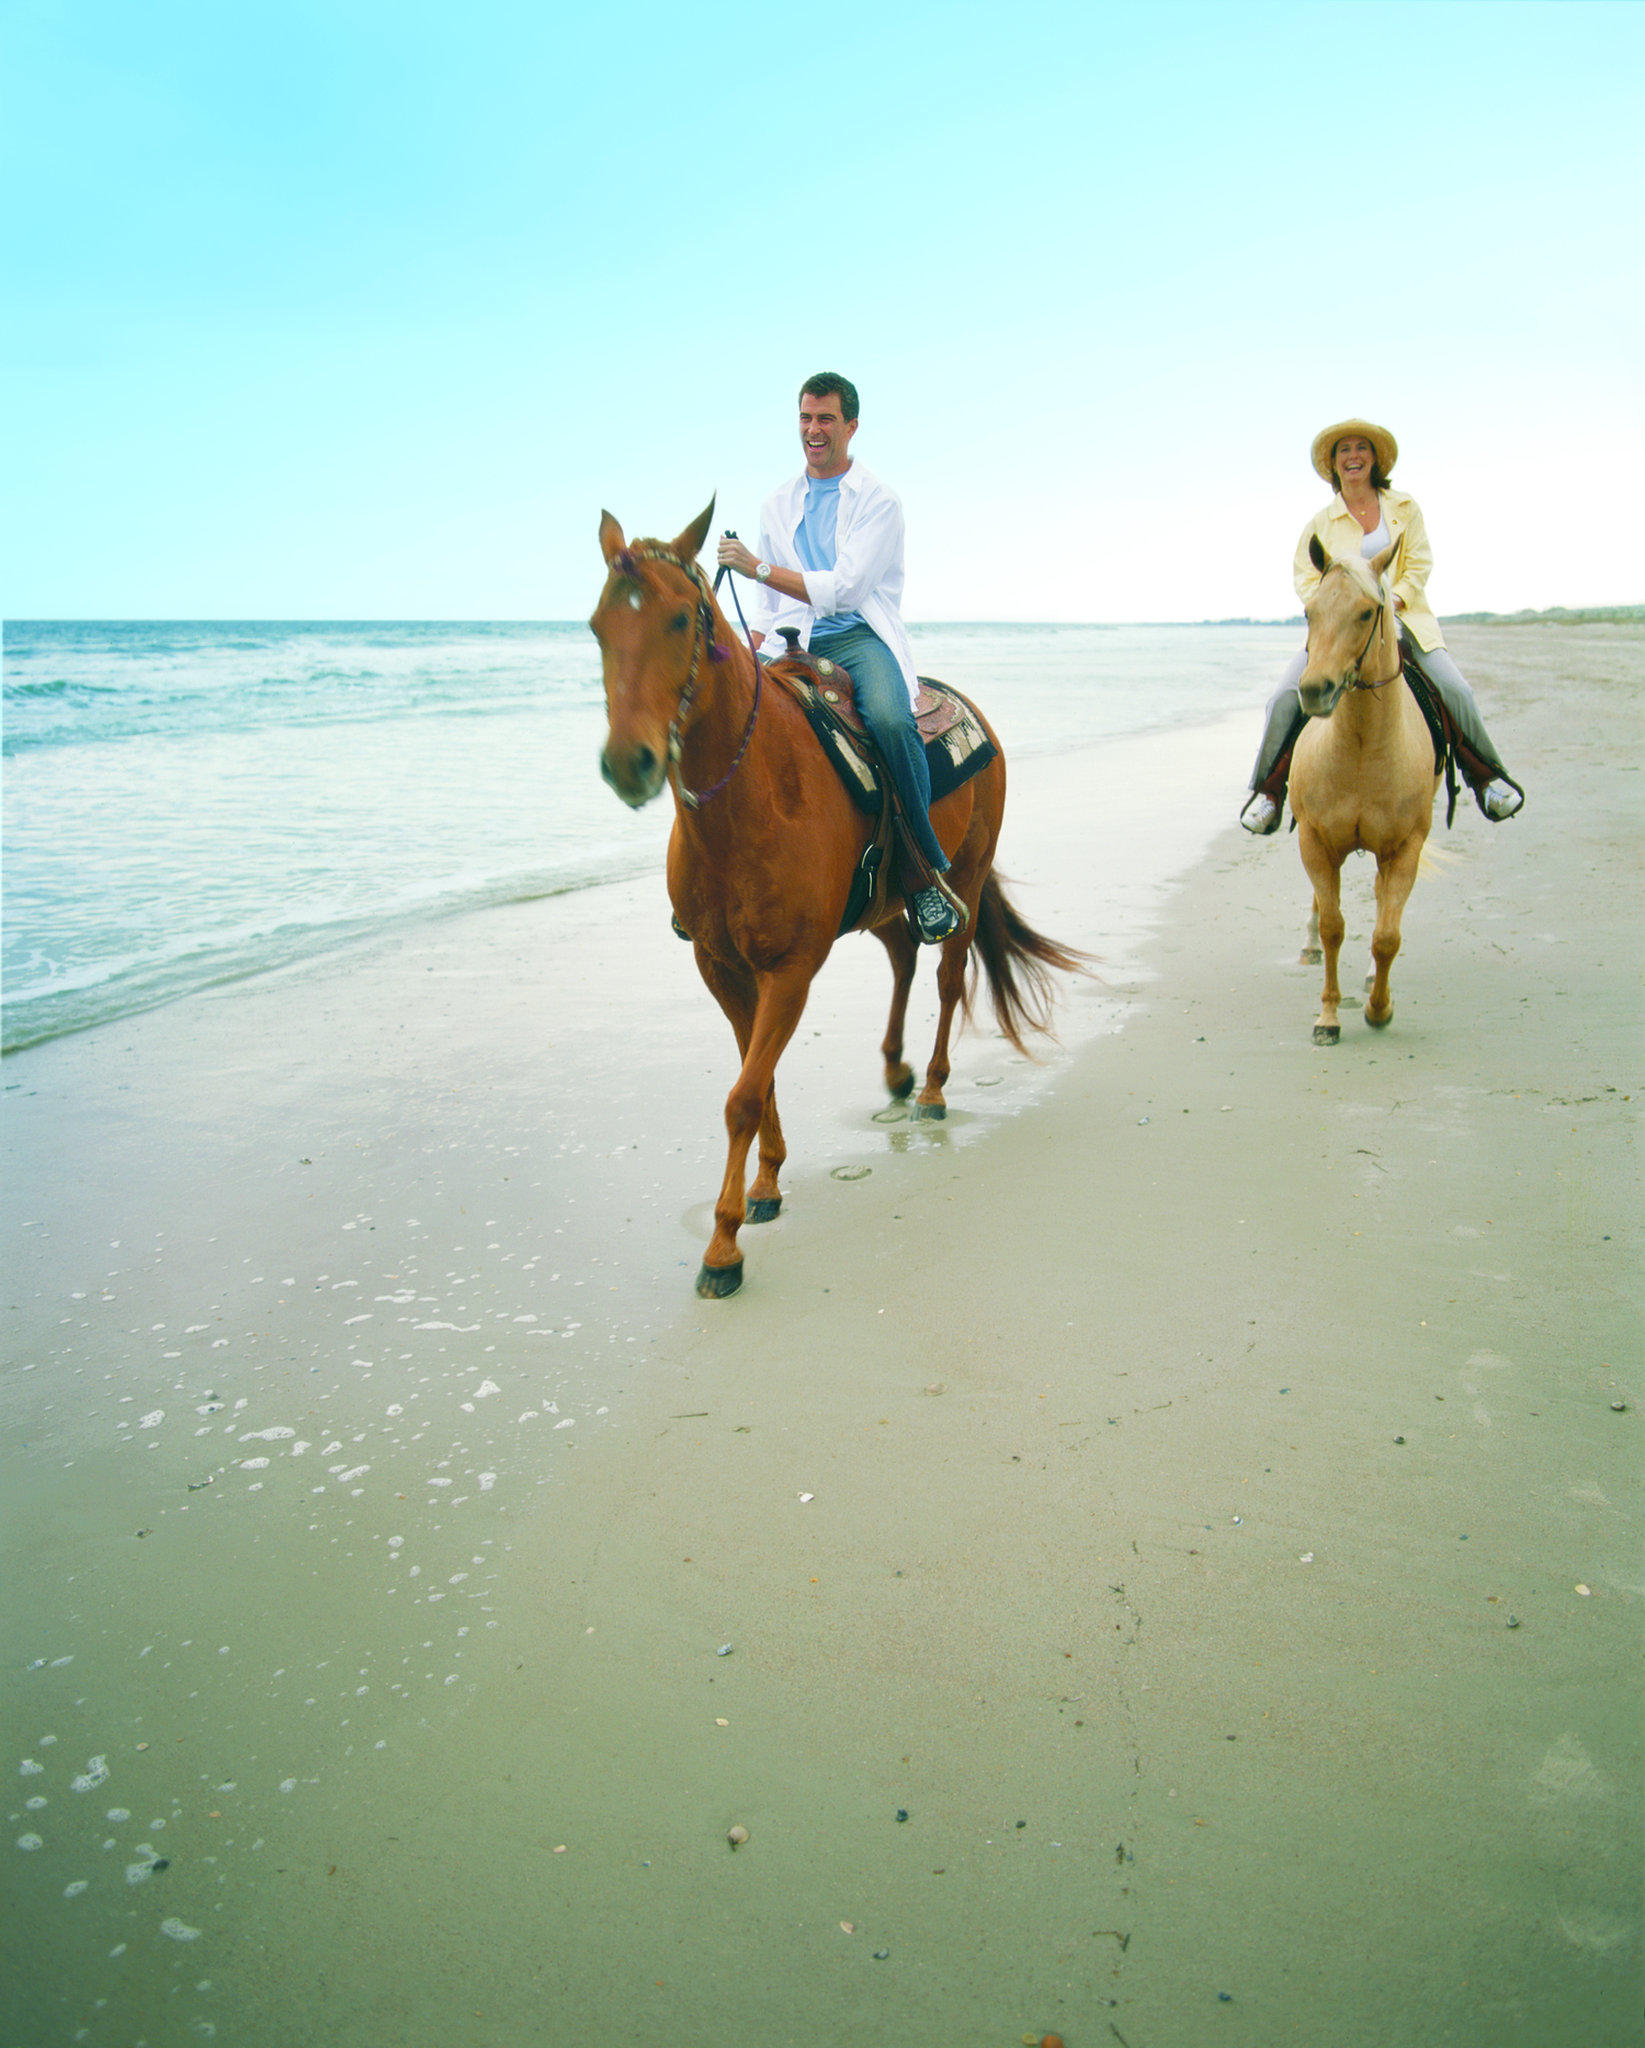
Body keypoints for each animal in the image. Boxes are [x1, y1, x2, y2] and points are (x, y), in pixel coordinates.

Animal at [589, 497, 1081, 1294]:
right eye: (597, 625)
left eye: (682, 619)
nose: (628, 763)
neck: (751, 796)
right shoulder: (721, 968)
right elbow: (757, 1081)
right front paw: (763, 1188)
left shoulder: (789, 970)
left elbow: (743, 1095)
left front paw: (722, 1247)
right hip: (882, 903)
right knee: (903, 957)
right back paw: (896, 1070)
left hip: (967, 877)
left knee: (947, 976)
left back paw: (932, 1090)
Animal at [1294, 532, 1433, 1040]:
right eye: (1310, 612)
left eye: (1367, 612)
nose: (1315, 690)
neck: (1359, 751)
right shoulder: (1316, 843)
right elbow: (1334, 926)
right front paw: (1328, 1017)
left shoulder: (1405, 848)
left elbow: (1387, 936)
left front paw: (1379, 1010)